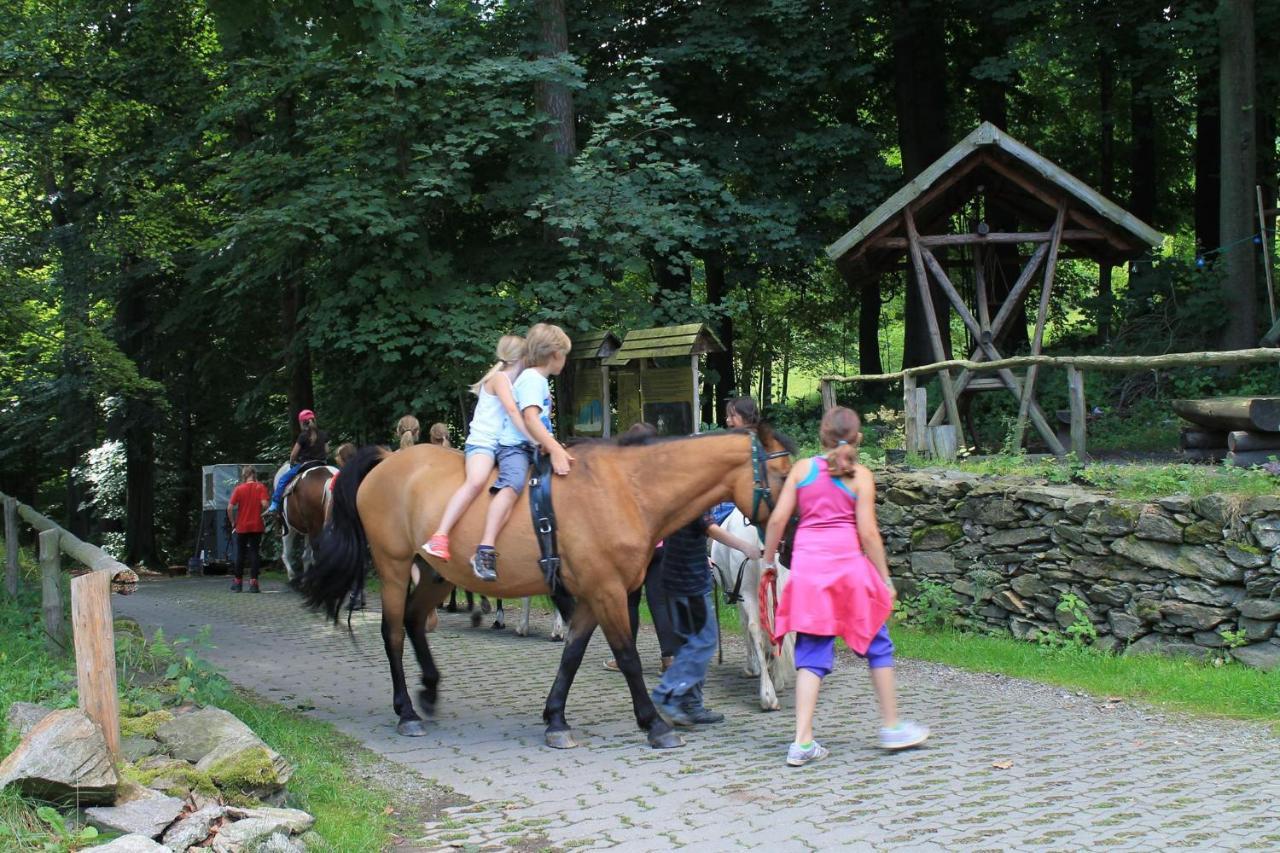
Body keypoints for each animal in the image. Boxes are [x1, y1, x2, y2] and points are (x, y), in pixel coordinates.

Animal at [711, 507, 788, 706]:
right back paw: (776, 681)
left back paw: (768, 694)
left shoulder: (739, 597)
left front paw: (753, 667)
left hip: (746, 591)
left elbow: (746, 626)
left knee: (754, 628)